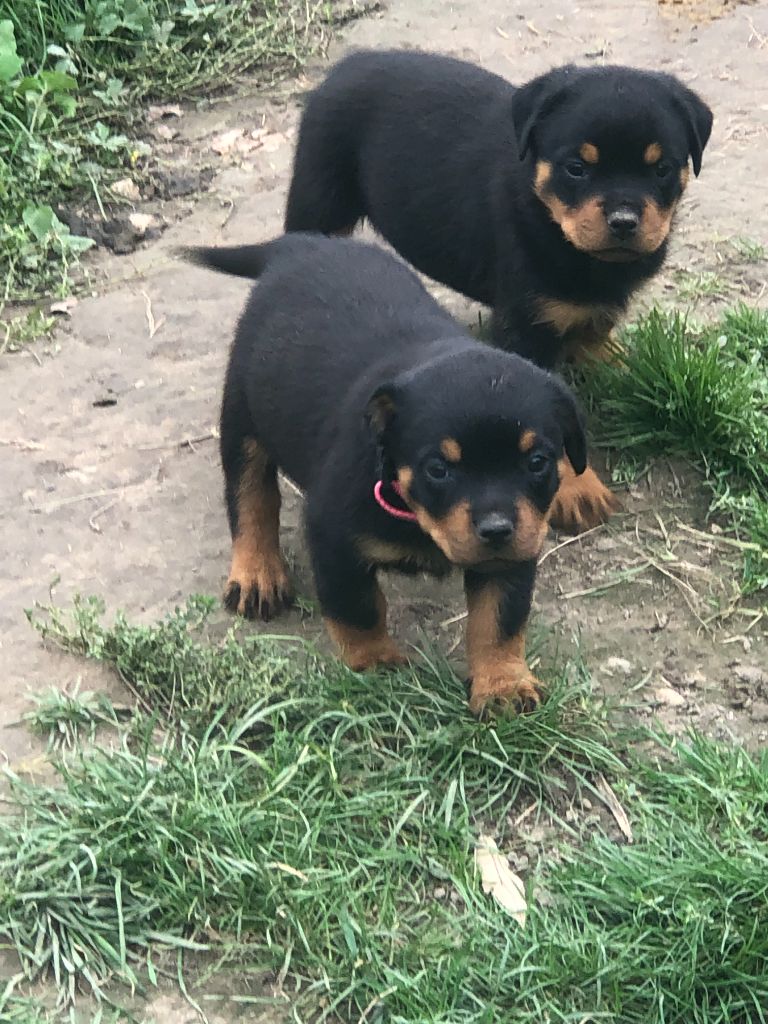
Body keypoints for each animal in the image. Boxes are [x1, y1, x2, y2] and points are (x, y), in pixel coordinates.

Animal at [183, 234, 585, 716]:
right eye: (438, 469)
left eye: (537, 462)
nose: (496, 529)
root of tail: (301, 245)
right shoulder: (333, 536)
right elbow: (358, 608)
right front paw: (375, 663)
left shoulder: (513, 550)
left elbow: (499, 619)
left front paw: (503, 684)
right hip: (242, 416)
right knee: (250, 497)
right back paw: (257, 572)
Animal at [284, 54, 716, 536]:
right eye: (576, 168)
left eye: (662, 169)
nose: (624, 221)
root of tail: (350, 60)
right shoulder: (524, 324)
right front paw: (578, 489)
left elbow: (596, 326)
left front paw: (611, 361)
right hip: (320, 197)